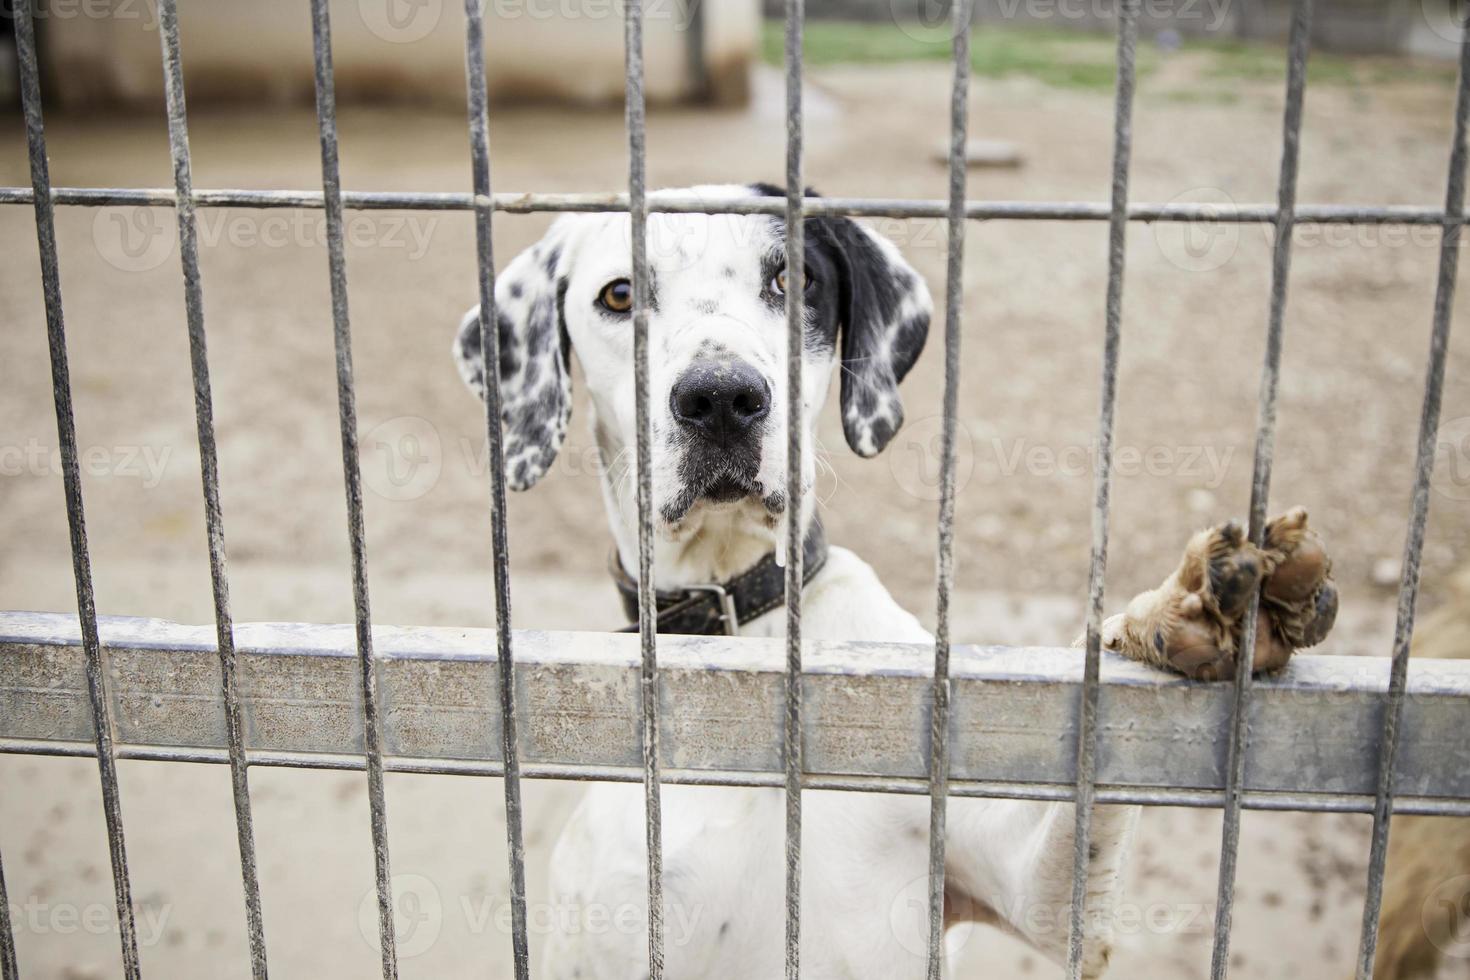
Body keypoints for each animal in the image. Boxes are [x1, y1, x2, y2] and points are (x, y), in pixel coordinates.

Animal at [452, 183, 1340, 980]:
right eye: (620, 294)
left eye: (793, 279)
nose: (722, 398)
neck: (741, 636)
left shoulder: (1047, 900)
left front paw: (1189, 612)